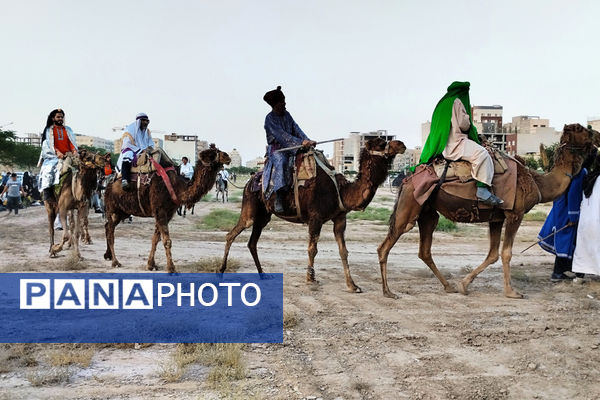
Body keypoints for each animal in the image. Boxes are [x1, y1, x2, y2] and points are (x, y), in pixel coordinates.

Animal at [103, 144, 230, 272]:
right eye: (212, 154)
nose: (227, 156)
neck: (176, 187)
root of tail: (108, 184)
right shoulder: (160, 210)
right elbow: (167, 240)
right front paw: (171, 268)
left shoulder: (168, 213)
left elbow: (156, 238)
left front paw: (151, 265)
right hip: (112, 208)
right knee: (110, 230)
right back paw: (115, 262)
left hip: (123, 211)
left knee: (108, 226)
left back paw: (108, 255)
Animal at [218, 138, 406, 290]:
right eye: (381, 143)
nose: (401, 144)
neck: (341, 190)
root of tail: (250, 181)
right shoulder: (316, 218)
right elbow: (312, 249)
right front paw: (310, 278)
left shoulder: (340, 218)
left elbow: (343, 251)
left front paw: (352, 285)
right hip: (250, 207)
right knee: (232, 234)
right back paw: (220, 272)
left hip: (264, 215)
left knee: (252, 242)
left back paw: (263, 274)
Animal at [378, 123, 596, 298]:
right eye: (580, 129)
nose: (595, 134)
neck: (537, 181)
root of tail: (407, 179)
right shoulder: (515, 214)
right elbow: (506, 253)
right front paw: (511, 292)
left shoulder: (496, 218)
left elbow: (492, 255)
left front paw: (464, 284)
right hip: (410, 207)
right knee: (385, 246)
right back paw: (388, 292)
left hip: (428, 213)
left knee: (424, 251)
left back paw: (449, 286)